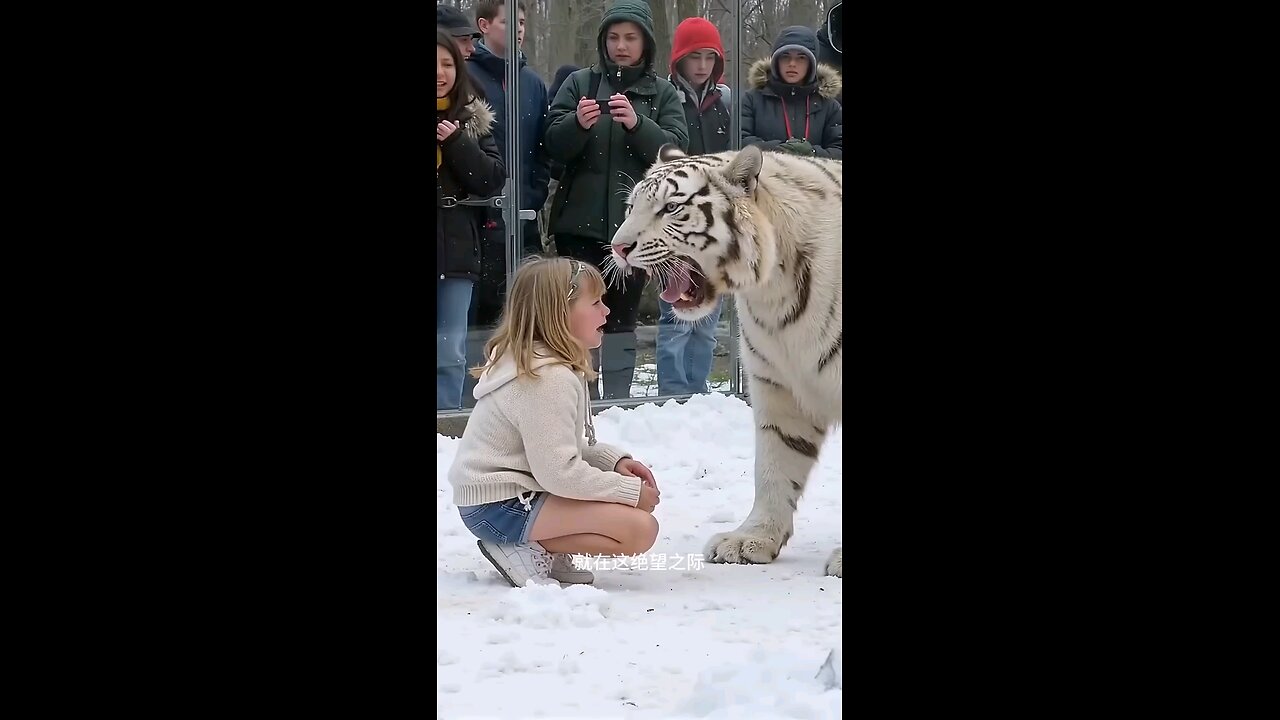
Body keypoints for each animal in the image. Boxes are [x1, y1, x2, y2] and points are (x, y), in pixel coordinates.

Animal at [607, 143, 843, 578]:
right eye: (631, 206)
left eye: (671, 208)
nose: (618, 248)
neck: (775, 289)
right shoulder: (777, 384)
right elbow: (774, 466)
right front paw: (752, 539)